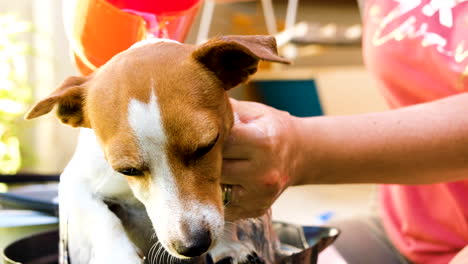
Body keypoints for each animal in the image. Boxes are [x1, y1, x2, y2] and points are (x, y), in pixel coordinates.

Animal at [26, 35, 288, 264]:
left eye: (207, 146)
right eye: (127, 170)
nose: (193, 245)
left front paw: (228, 245)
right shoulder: (74, 183)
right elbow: (101, 217)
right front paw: (120, 257)